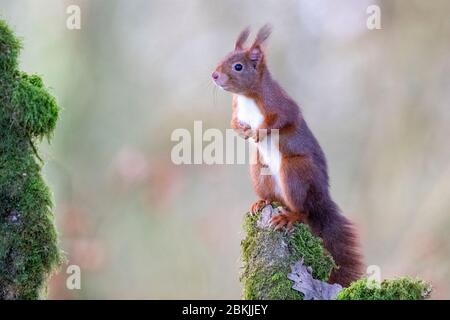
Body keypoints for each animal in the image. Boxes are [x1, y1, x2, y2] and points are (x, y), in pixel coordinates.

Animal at [213, 24, 364, 284]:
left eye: (238, 66)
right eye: (223, 58)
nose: (213, 75)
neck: (247, 97)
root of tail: (321, 198)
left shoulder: (281, 104)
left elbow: (282, 120)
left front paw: (258, 132)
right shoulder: (236, 109)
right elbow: (232, 122)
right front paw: (242, 131)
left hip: (294, 171)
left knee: (303, 211)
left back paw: (289, 217)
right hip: (259, 171)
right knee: (275, 198)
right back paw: (262, 202)